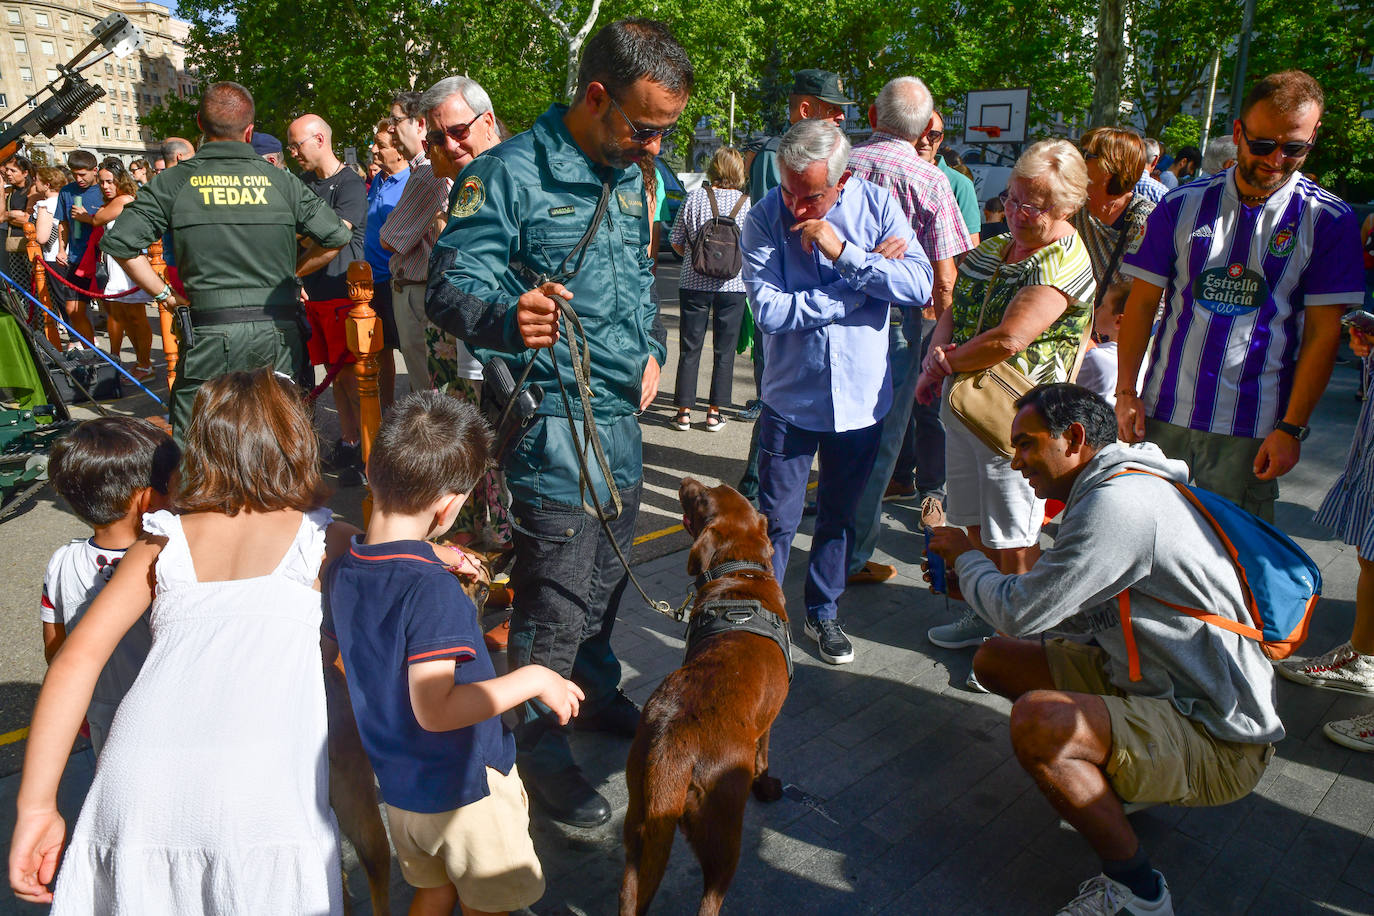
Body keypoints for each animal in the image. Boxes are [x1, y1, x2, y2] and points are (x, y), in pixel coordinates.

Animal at [618, 480, 791, 916]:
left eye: (705, 495)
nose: (685, 482)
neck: (741, 574)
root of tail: (672, 751)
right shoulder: (768, 724)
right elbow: (765, 757)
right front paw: (767, 786)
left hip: (641, 826)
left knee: (631, 896)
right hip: (722, 833)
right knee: (710, 900)